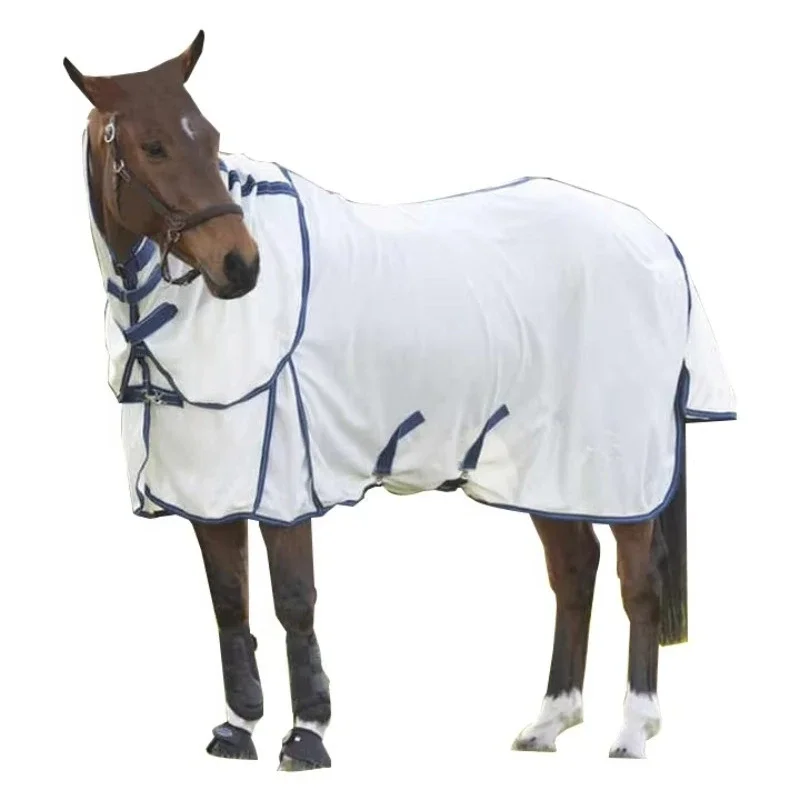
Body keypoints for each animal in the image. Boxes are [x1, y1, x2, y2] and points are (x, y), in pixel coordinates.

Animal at [64, 30, 736, 768]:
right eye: (153, 145)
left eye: (211, 139)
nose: (240, 266)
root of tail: (660, 245)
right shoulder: (210, 491)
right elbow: (229, 602)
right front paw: (236, 730)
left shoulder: (283, 483)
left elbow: (294, 600)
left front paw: (307, 735)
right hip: (550, 469)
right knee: (575, 571)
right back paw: (548, 722)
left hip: (615, 465)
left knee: (637, 582)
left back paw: (633, 731)